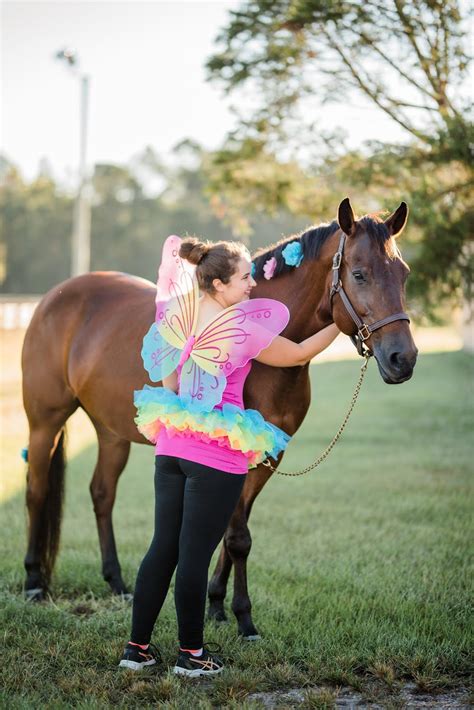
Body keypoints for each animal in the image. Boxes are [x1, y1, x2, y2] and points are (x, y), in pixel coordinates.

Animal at [23, 197, 414, 644]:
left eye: (403, 274)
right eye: (360, 274)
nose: (403, 358)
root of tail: (56, 296)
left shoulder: (266, 456)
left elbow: (230, 536)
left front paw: (216, 604)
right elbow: (238, 536)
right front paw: (243, 618)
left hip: (111, 432)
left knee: (102, 494)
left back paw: (118, 583)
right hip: (45, 422)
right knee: (36, 491)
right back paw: (34, 584)